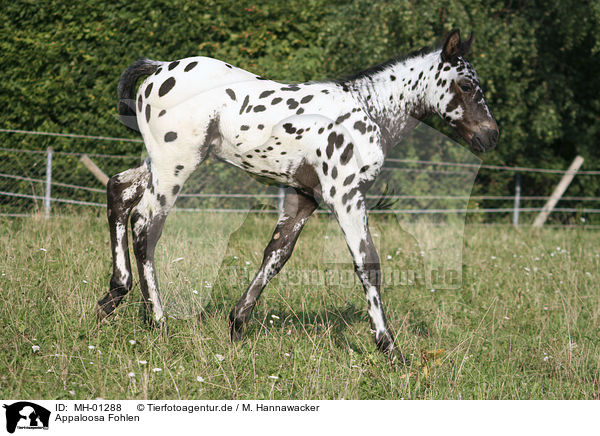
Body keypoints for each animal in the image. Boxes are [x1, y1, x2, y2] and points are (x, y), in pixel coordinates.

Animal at [98, 28, 500, 362]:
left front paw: (237, 324)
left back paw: (112, 298)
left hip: (157, 162)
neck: (369, 111)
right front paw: (389, 348)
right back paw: (157, 321)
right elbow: (368, 265)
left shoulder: (303, 197)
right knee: (145, 225)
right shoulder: (345, 196)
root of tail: (159, 69)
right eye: (466, 85)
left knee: (119, 190)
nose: (490, 135)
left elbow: (276, 255)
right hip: (175, 166)